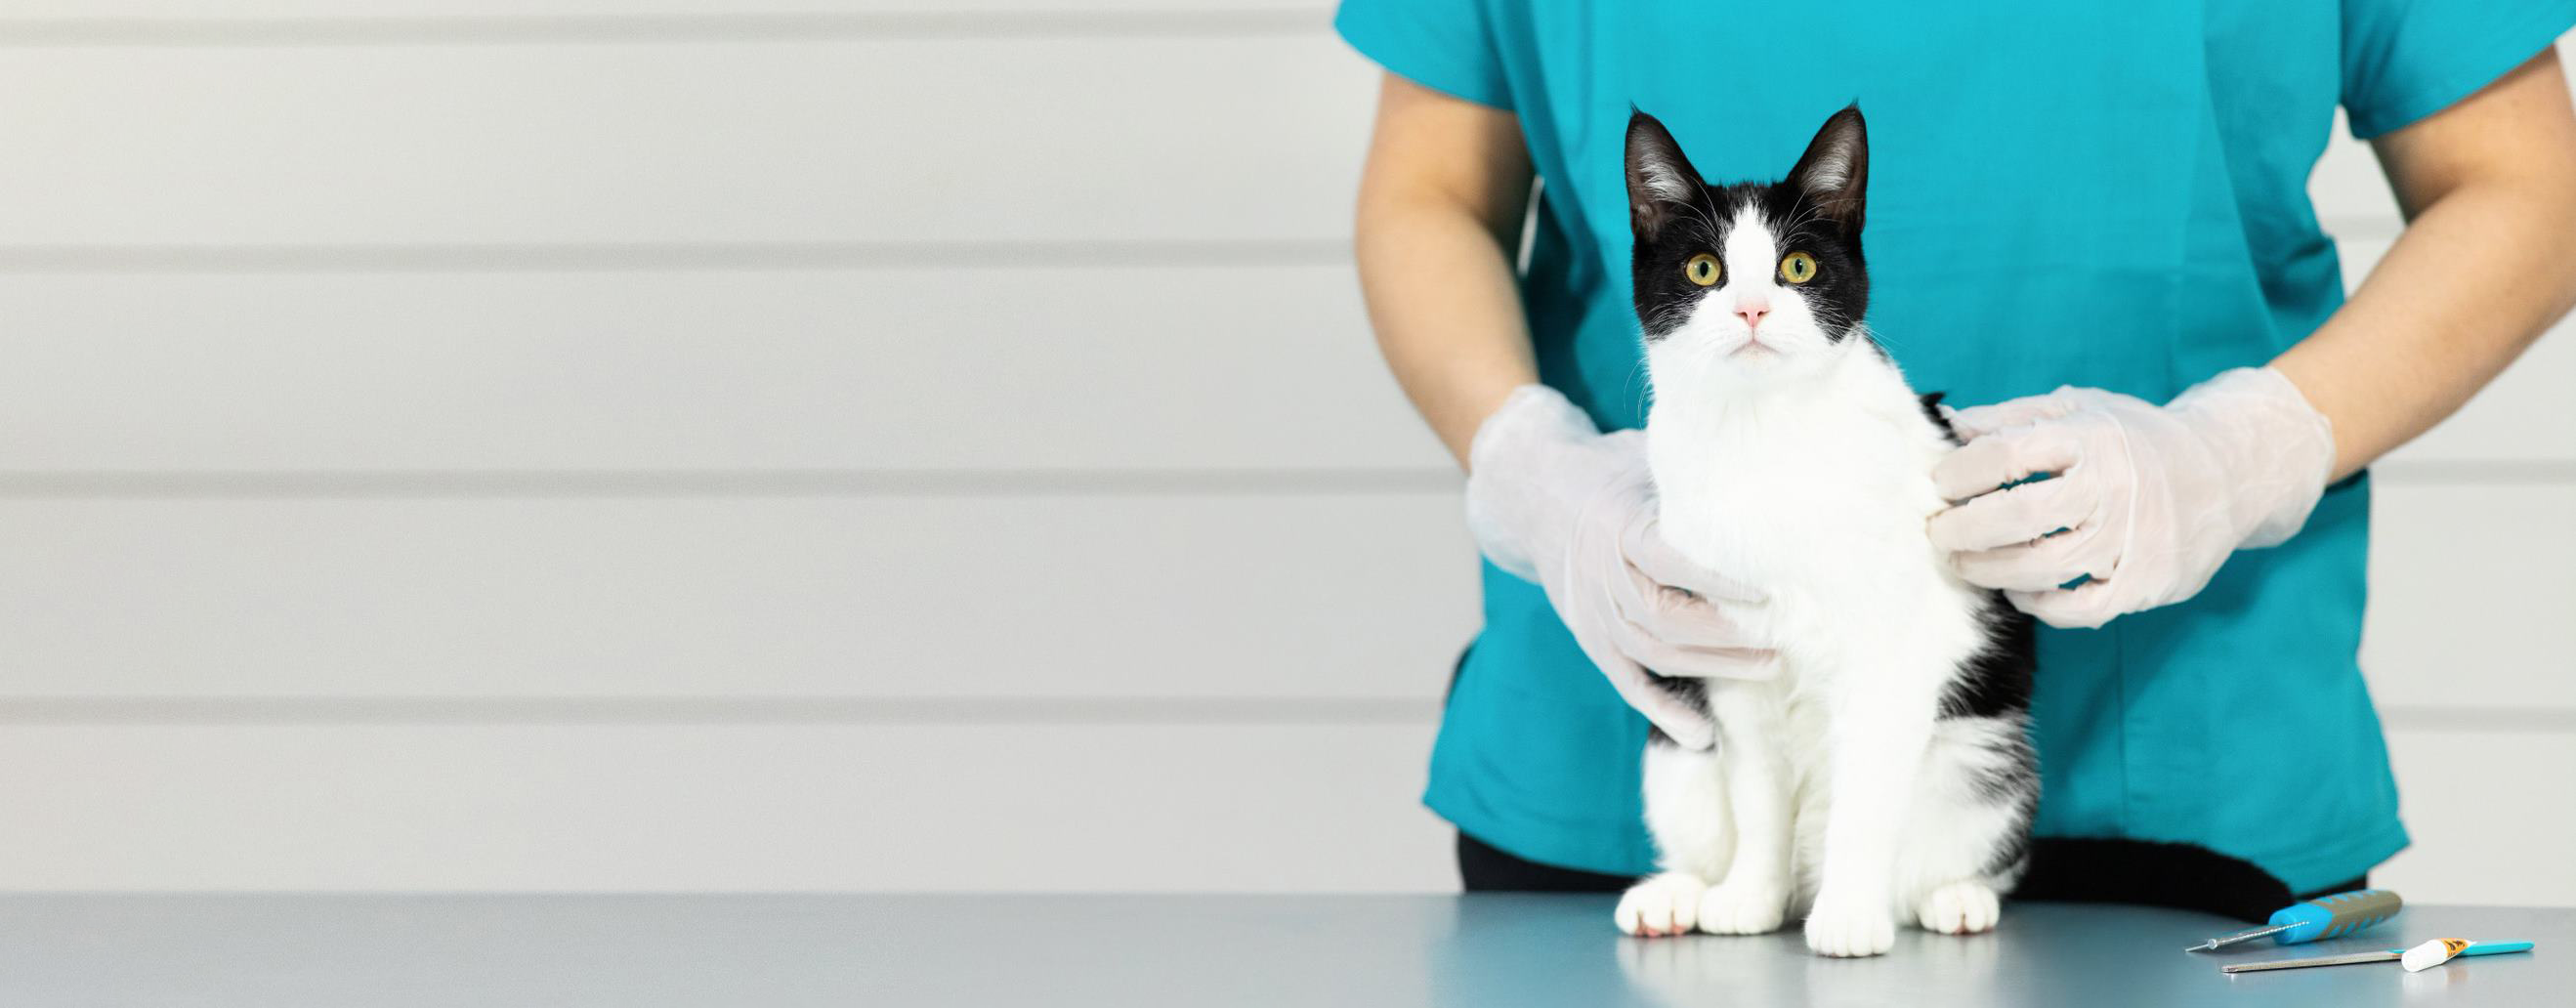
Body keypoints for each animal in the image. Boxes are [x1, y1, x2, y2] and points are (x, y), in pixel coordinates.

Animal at [1618, 105, 2040, 958]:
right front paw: (1747, 897)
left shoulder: (1890, 662)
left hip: (1981, 760)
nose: (1751, 308)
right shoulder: (1733, 669)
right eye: (1704, 270)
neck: (1765, 438)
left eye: (1798, 267)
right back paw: (1680, 895)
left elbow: (1865, 805)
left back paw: (1951, 898)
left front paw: (1848, 916)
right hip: (1676, 756)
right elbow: (1756, 799)